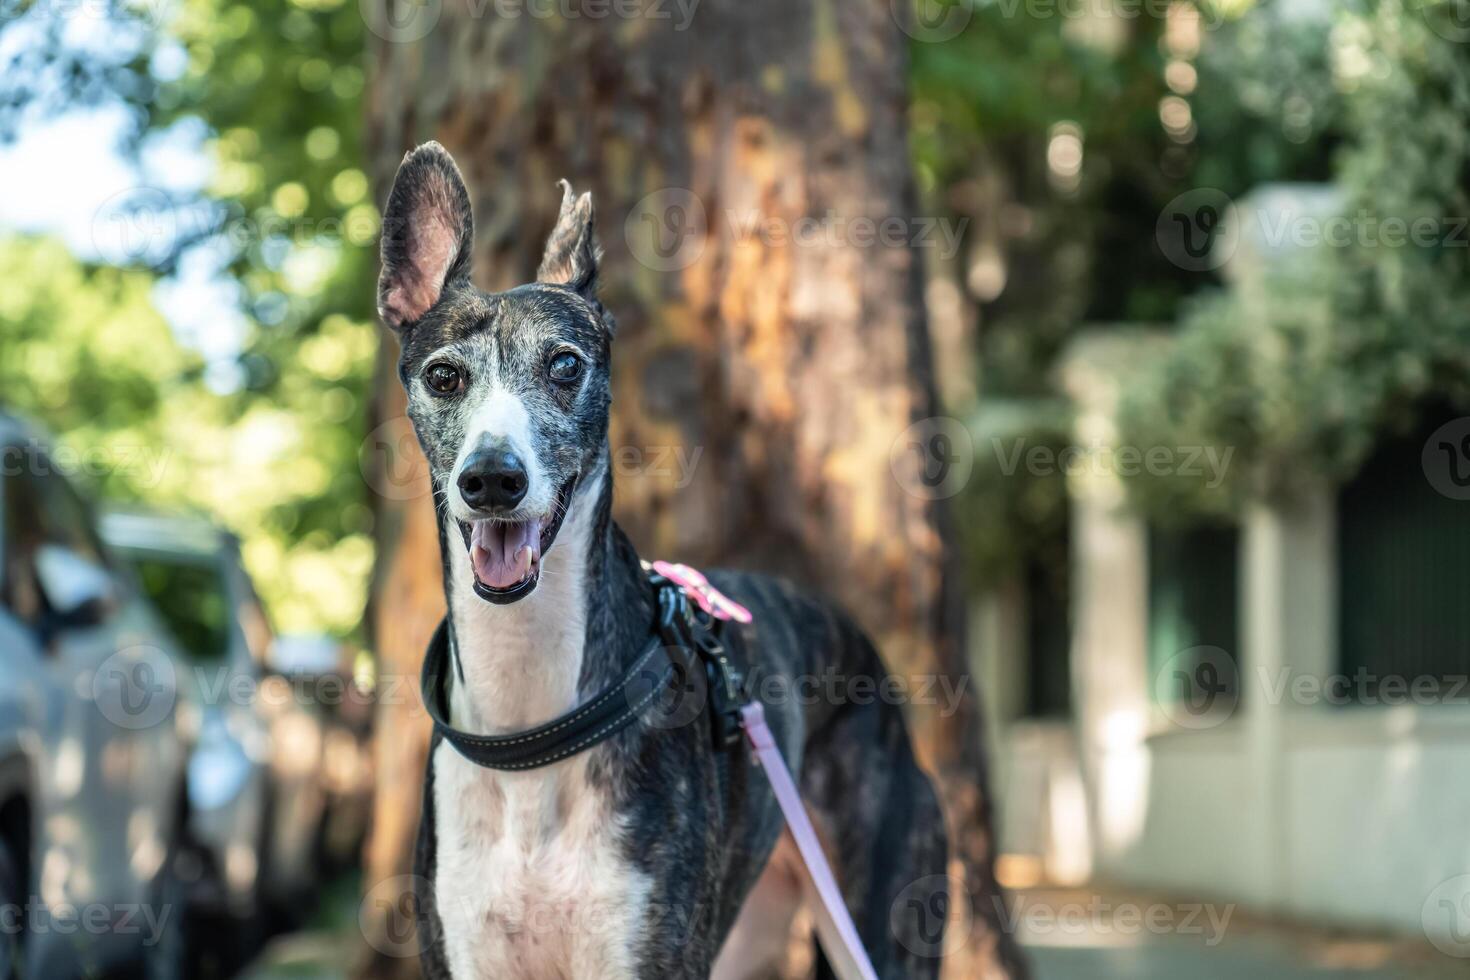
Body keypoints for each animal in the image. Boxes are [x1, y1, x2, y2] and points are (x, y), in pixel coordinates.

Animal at [379, 141, 946, 975]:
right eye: (443, 375)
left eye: (565, 365)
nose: (492, 480)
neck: (530, 722)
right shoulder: (465, 950)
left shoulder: (646, 948)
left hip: (875, 919)